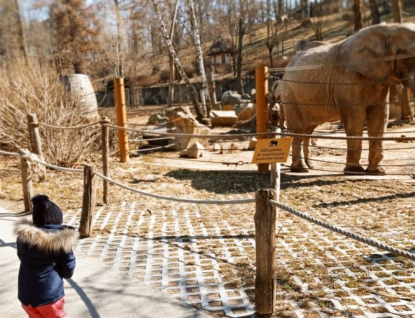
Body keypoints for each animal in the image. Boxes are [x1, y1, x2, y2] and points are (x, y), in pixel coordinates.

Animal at [278, 23, 415, 175]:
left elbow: (379, 116)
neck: (388, 30)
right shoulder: (346, 79)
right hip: (289, 93)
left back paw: (310, 166)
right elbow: (355, 117)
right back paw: (300, 169)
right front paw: (355, 171)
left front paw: (377, 171)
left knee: (308, 130)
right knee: (298, 129)